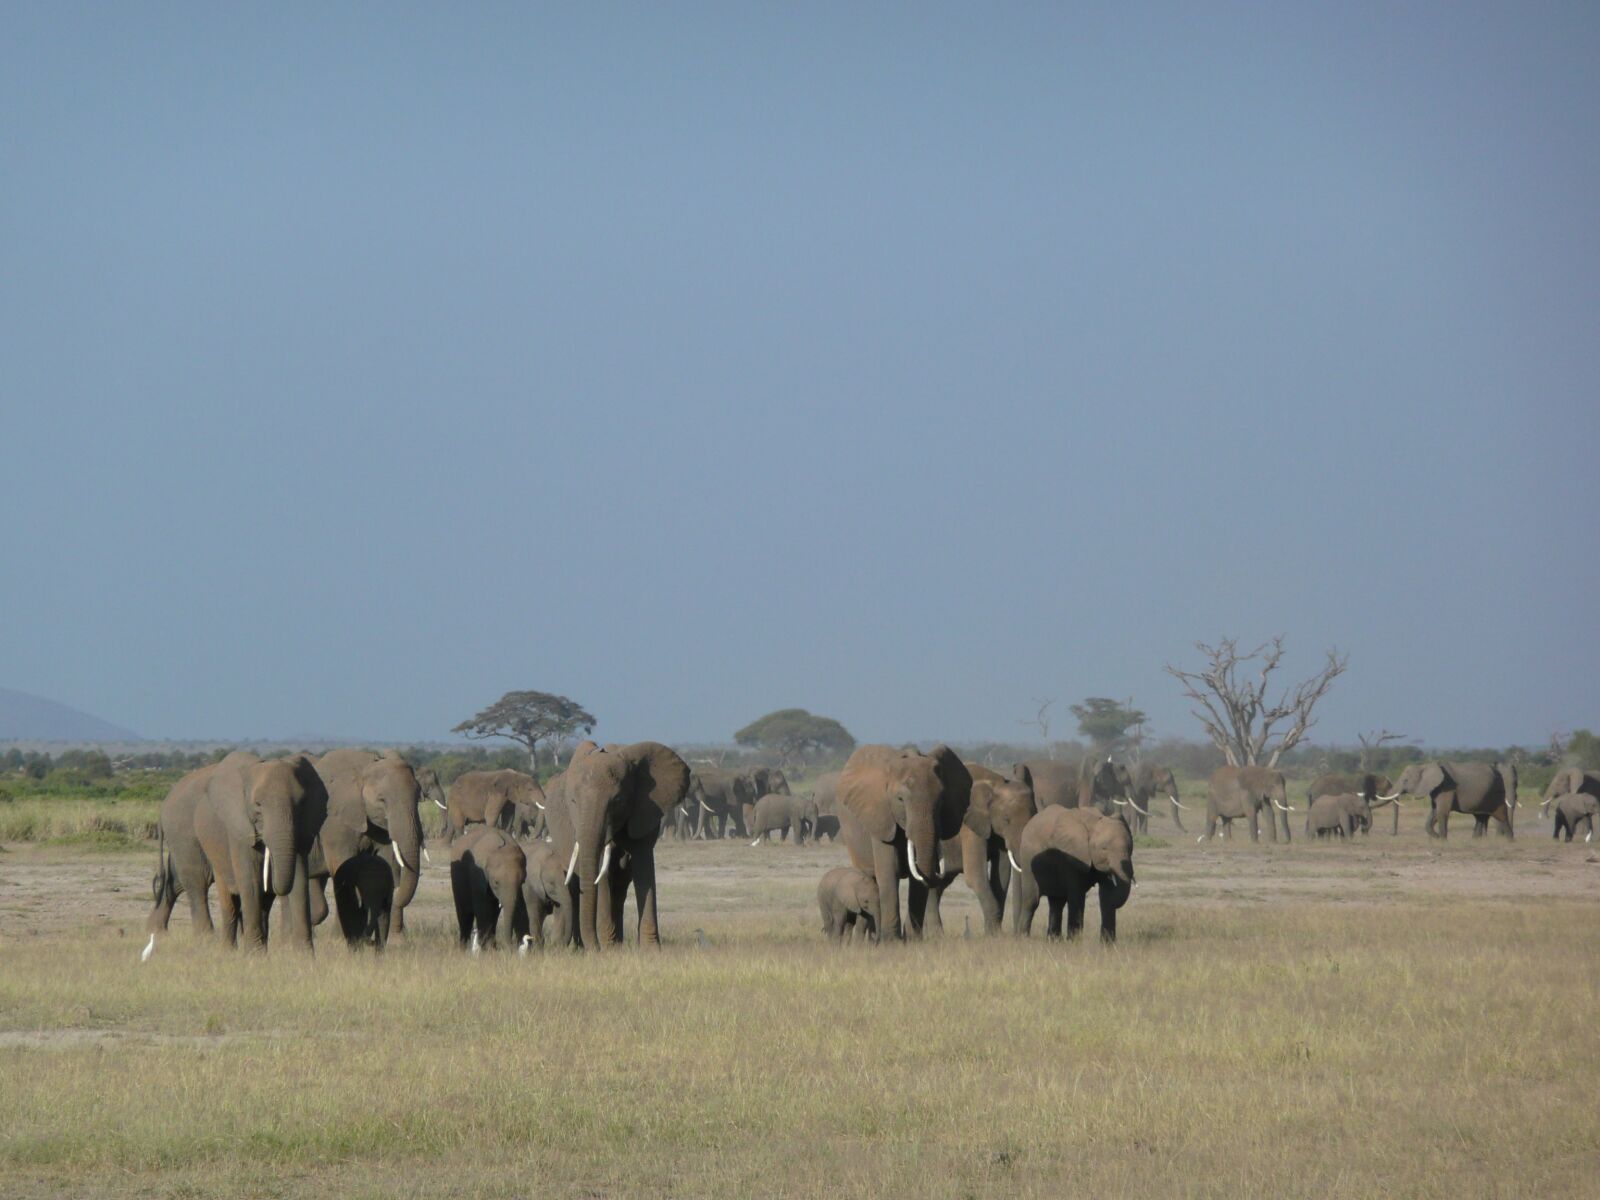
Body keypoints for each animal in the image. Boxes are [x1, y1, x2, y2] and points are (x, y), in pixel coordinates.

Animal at [187, 755, 324, 953]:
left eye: (300, 803)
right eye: (257, 805)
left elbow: (299, 879)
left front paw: (304, 955)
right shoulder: (239, 828)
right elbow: (250, 882)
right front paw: (253, 955)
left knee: (264, 905)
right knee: (230, 902)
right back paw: (228, 951)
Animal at [307, 752, 428, 940]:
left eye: (418, 799)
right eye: (382, 800)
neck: (365, 769)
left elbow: (388, 862)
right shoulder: (334, 823)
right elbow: (344, 868)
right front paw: (341, 938)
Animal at [448, 825, 528, 953]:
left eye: (523, 881)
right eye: (496, 882)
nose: (510, 947)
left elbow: (520, 906)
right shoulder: (478, 875)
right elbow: (483, 908)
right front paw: (488, 950)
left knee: (493, 914)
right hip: (457, 876)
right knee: (464, 913)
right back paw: (464, 949)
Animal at [560, 739, 691, 953]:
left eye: (617, 801)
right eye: (573, 801)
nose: (595, 949)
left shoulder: (645, 810)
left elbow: (644, 868)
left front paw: (651, 950)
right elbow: (602, 875)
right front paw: (609, 949)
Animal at [1011, 803, 1139, 947]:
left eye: (1130, 848)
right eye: (1104, 848)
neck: (1093, 822)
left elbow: (1107, 895)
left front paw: (1107, 945)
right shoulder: (1072, 856)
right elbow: (1077, 895)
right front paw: (1074, 943)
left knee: (1057, 903)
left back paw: (1054, 941)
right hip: (1027, 860)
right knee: (1032, 900)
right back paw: (1024, 938)